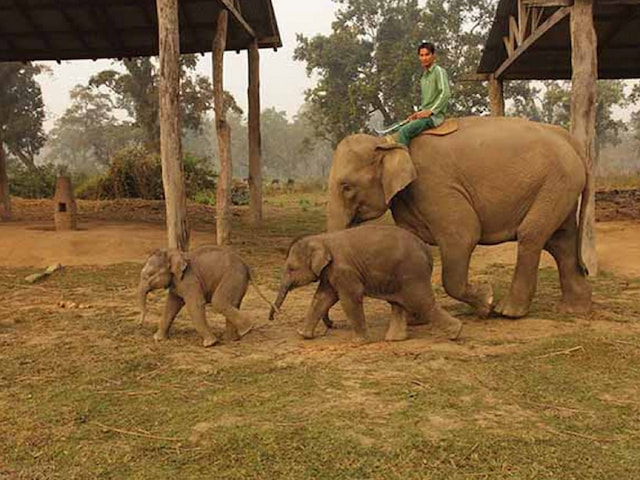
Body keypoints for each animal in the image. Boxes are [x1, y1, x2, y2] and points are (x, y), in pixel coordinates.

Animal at [138, 245, 274, 347]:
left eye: (149, 275)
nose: (140, 324)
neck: (175, 254)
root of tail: (245, 264)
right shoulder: (177, 283)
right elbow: (171, 305)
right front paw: (158, 339)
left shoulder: (190, 280)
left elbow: (195, 304)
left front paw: (210, 344)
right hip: (238, 280)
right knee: (232, 303)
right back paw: (232, 339)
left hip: (233, 276)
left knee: (219, 301)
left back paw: (247, 329)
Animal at [269, 224, 463, 343]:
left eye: (291, 268)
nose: (272, 317)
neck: (322, 239)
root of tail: (427, 250)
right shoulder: (330, 273)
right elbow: (322, 298)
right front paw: (303, 335)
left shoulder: (344, 270)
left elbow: (350, 298)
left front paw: (359, 342)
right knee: (398, 303)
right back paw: (393, 339)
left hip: (412, 273)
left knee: (420, 302)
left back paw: (456, 333)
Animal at [326, 116, 592, 318]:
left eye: (346, 187)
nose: (330, 324)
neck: (388, 142)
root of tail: (571, 140)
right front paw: (412, 319)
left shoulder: (434, 185)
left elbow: (463, 234)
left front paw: (486, 302)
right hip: (561, 185)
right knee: (561, 242)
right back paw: (573, 310)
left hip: (556, 182)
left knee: (531, 234)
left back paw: (508, 312)